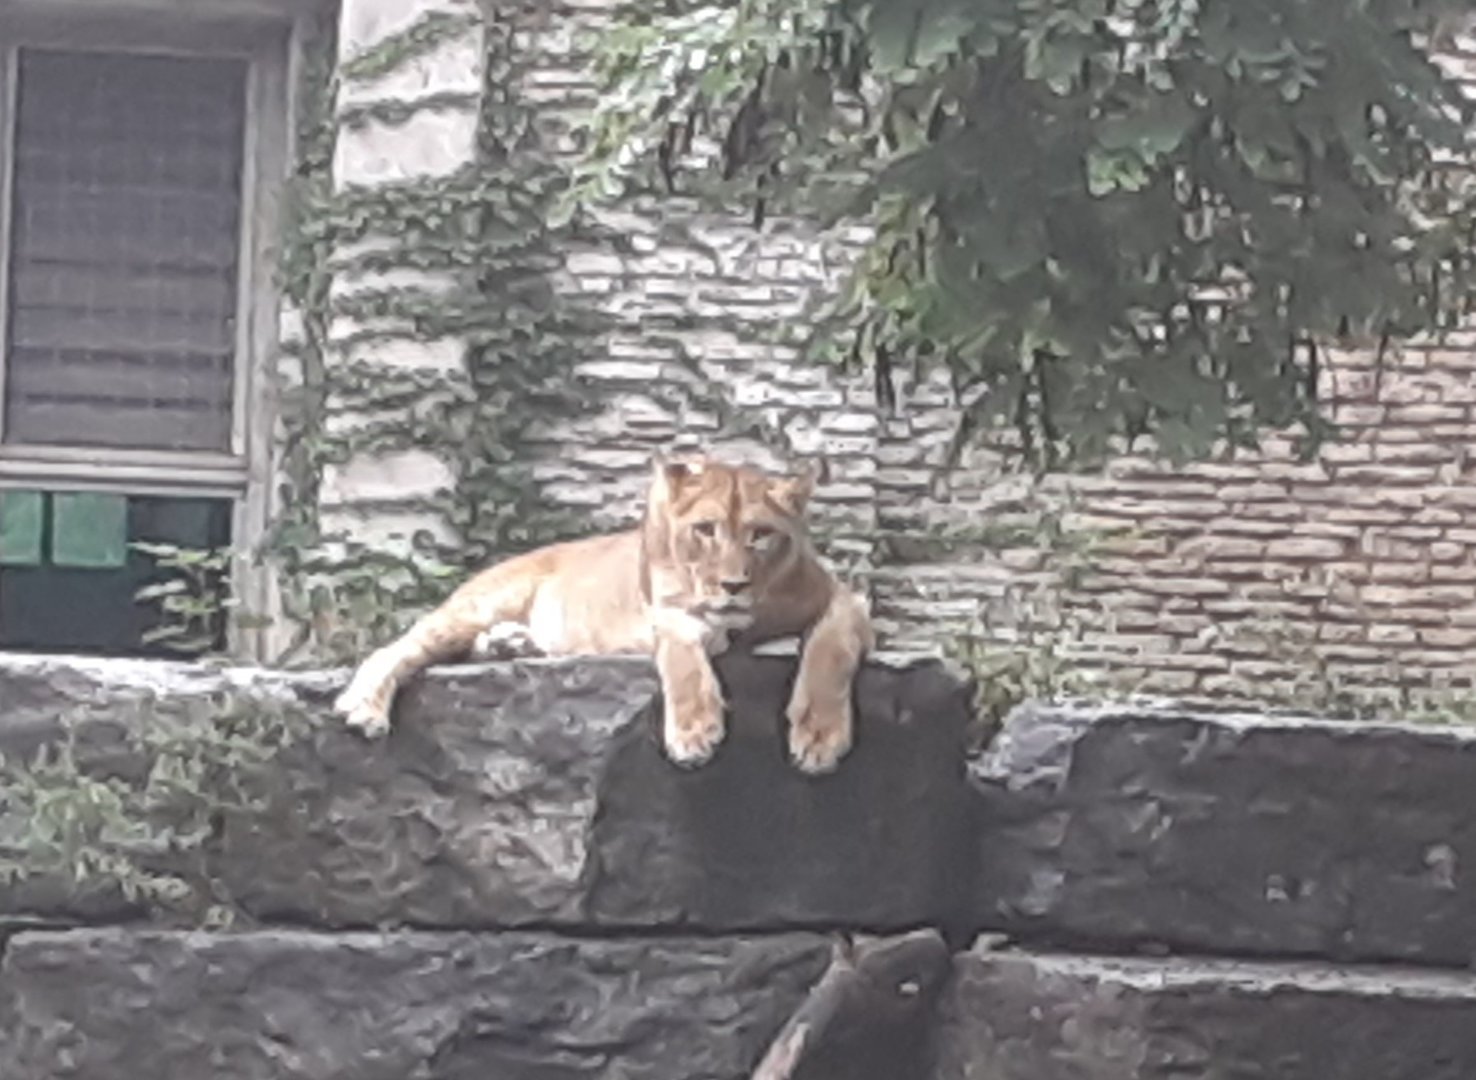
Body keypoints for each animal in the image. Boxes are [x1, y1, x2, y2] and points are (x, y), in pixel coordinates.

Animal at [333, 452, 874, 773]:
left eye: (761, 535)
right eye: (705, 530)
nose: (734, 585)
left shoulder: (847, 600)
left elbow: (830, 650)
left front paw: (821, 735)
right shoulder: (669, 613)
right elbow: (684, 660)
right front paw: (694, 729)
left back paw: (511, 643)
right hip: (479, 602)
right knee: (398, 647)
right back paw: (365, 705)